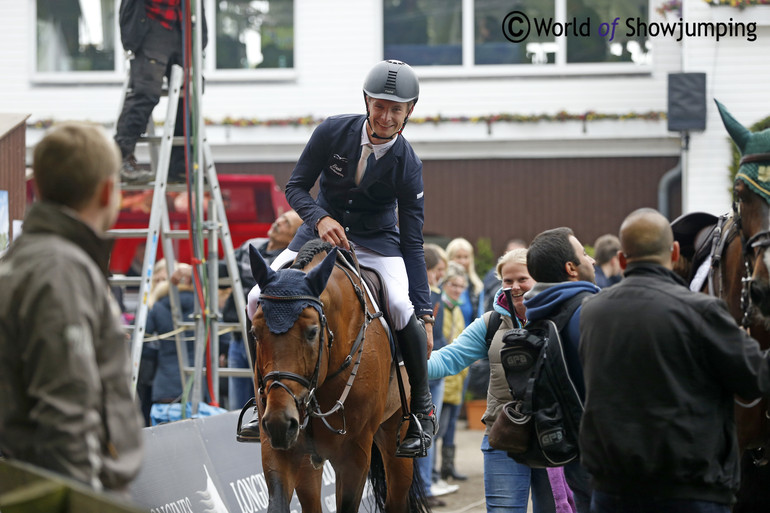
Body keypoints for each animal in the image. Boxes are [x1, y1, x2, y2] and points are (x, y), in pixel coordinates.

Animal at [246, 239, 426, 512]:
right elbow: (277, 502)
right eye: (255, 333)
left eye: (312, 332)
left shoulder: (354, 455)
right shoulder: (279, 450)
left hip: (395, 434)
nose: (280, 421)